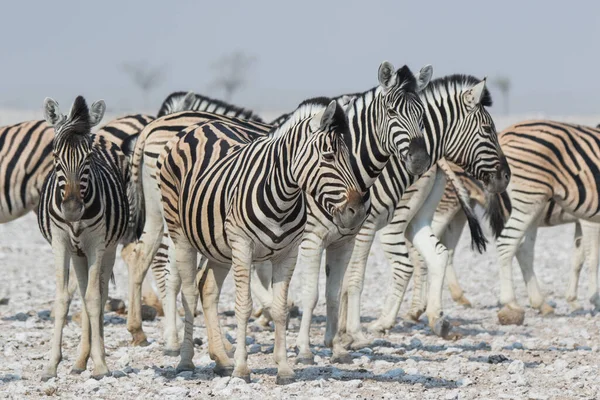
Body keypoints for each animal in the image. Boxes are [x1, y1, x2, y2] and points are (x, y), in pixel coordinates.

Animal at [38, 95, 135, 380]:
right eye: (55, 155)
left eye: (88, 158)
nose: (72, 210)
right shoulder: (60, 243)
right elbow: (63, 299)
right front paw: (51, 365)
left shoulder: (97, 244)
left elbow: (94, 299)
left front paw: (101, 364)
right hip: (76, 252)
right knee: (81, 293)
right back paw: (81, 360)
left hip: (107, 249)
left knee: (99, 295)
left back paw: (94, 355)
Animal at [332, 75, 510, 362]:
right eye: (487, 129)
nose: (506, 176)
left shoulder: (360, 226)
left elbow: (348, 278)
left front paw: (347, 335)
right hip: (415, 219)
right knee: (437, 254)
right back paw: (436, 319)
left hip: (397, 222)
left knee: (409, 263)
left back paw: (386, 322)